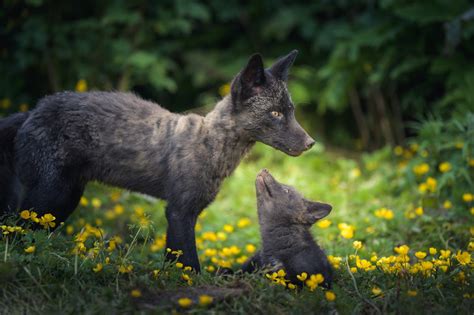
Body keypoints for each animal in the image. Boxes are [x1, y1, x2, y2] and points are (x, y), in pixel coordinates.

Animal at [2, 51, 318, 272]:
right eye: (275, 114)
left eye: (291, 111)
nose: (310, 143)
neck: (212, 148)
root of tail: (30, 112)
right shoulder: (179, 211)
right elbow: (189, 263)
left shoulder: (188, 212)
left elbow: (174, 261)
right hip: (49, 195)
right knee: (16, 231)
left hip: (63, 201)